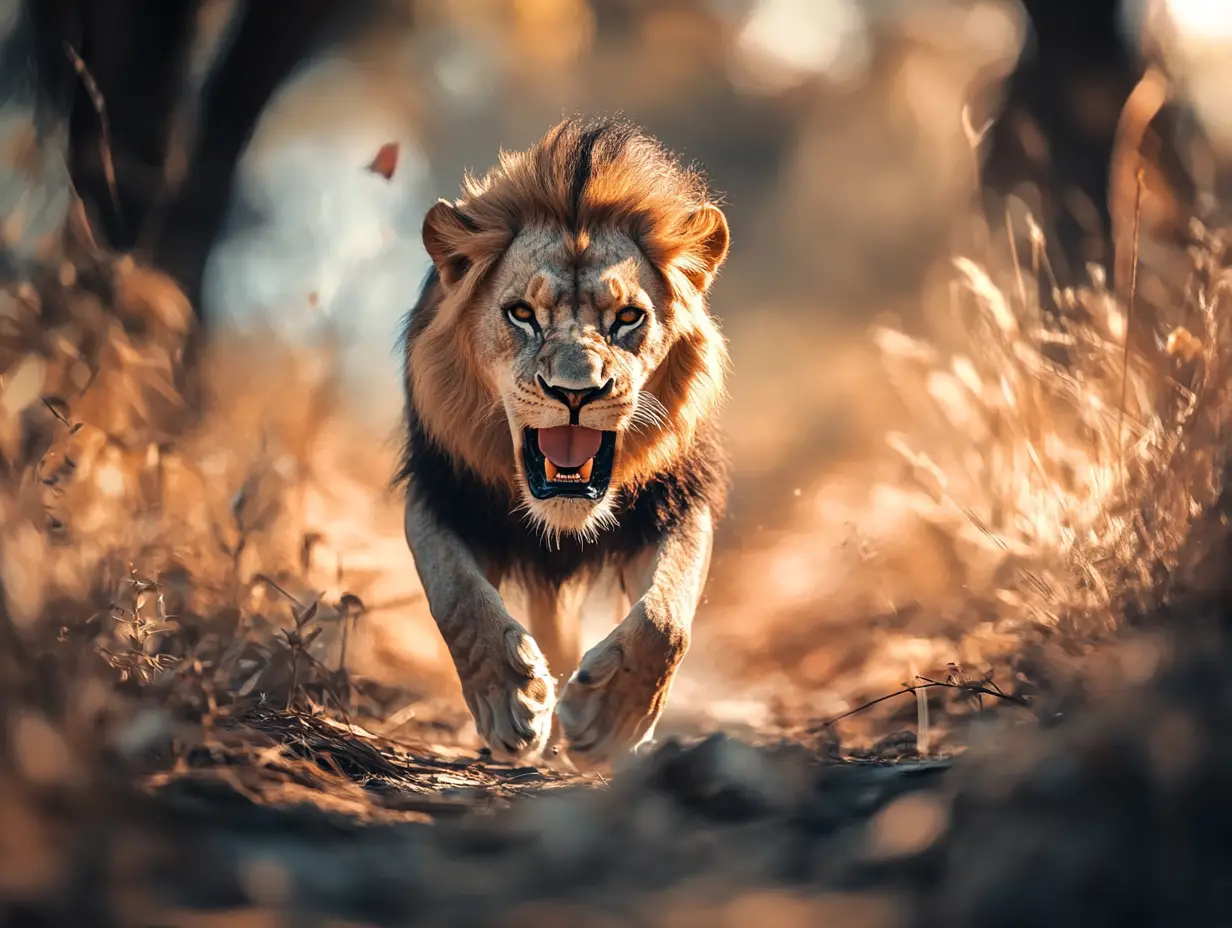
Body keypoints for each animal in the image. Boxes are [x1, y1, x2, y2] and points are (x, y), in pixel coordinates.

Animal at [395, 117, 730, 766]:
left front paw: (608, 720)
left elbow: (666, 616)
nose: (576, 391)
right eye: (521, 313)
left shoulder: (678, 499)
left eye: (628, 318)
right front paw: (513, 703)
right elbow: (458, 598)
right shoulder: (438, 492)